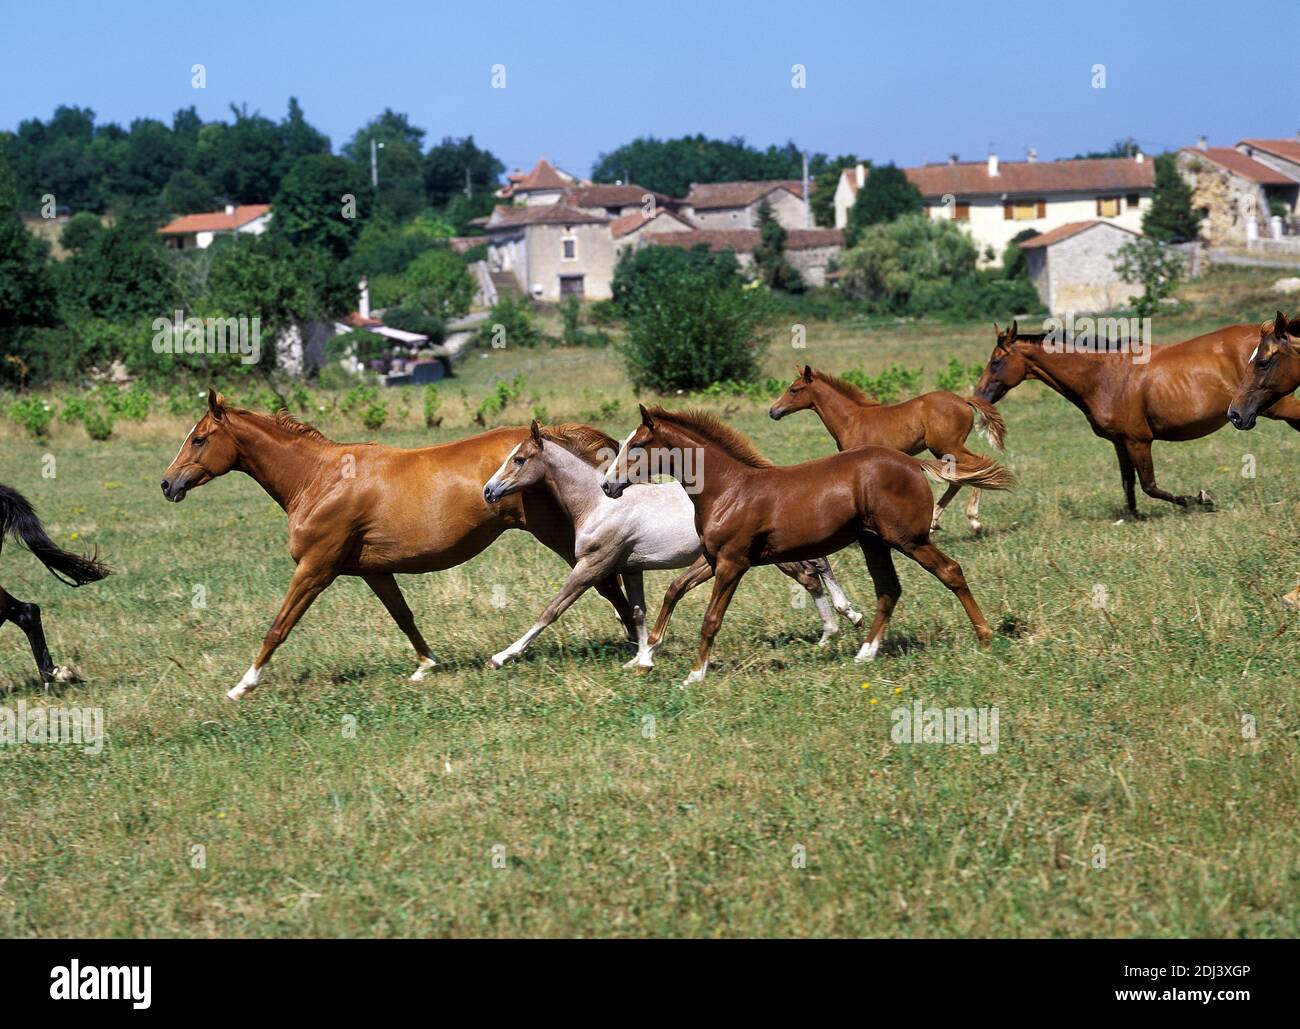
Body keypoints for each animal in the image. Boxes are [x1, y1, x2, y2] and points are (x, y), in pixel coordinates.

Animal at [160, 390, 644, 700]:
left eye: (199, 438)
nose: (167, 484)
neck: (321, 480)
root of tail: (554, 438)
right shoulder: (374, 571)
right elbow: (403, 616)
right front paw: (427, 665)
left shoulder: (315, 568)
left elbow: (279, 626)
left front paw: (243, 685)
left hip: (558, 535)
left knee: (607, 585)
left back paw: (634, 645)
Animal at [480, 420, 863, 670]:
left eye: (518, 459)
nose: (488, 490)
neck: (598, 504)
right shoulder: (631, 567)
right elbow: (638, 611)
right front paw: (642, 657)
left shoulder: (593, 566)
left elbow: (551, 610)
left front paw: (501, 656)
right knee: (812, 572)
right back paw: (836, 626)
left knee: (816, 568)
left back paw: (847, 618)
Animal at [601, 405, 1013, 685]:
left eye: (638, 446)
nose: (607, 485)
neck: (729, 489)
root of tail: (914, 465)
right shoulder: (713, 558)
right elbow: (674, 589)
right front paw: (645, 658)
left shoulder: (733, 562)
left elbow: (711, 619)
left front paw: (695, 674)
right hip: (874, 542)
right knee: (889, 590)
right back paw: (865, 654)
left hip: (908, 539)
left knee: (949, 571)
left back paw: (984, 637)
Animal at [769, 364, 1006, 533]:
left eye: (793, 390)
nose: (773, 411)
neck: (851, 420)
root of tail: (963, 400)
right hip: (944, 450)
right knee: (960, 478)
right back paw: (934, 522)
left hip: (948, 445)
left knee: (978, 466)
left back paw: (974, 521)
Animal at [975, 319, 1300, 518]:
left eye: (996, 361)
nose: (978, 395)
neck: (1103, 376)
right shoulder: (1120, 442)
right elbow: (1128, 483)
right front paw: (1132, 517)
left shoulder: (1138, 440)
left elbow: (1149, 485)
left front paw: (1199, 499)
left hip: (1273, 407)